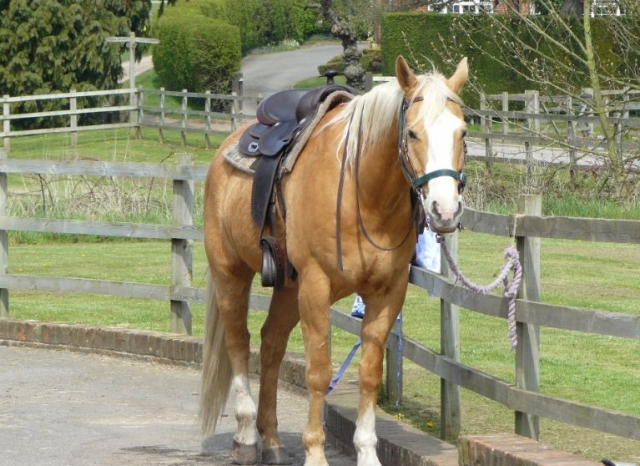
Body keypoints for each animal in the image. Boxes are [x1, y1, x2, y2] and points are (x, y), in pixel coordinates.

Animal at [200, 55, 469, 466]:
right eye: (412, 134)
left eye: (463, 133)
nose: (445, 209)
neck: (364, 192)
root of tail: (226, 148)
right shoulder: (316, 286)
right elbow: (318, 371)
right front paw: (315, 452)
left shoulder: (388, 294)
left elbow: (370, 373)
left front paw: (368, 453)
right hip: (230, 272)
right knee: (238, 343)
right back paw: (246, 437)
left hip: (287, 288)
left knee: (271, 344)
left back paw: (272, 439)